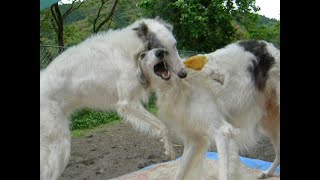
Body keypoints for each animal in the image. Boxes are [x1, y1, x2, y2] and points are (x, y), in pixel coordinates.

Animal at [39, 17, 188, 180]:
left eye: (175, 45)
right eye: (162, 49)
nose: (183, 73)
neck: (129, 52)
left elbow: (164, 125)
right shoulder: (127, 103)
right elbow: (163, 126)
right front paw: (169, 150)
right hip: (60, 146)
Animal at [139, 39, 278, 180]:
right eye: (142, 55)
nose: (160, 52)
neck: (180, 83)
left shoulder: (222, 132)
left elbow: (223, 173)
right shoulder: (194, 139)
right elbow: (180, 172)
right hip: (269, 123)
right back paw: (268, 173)